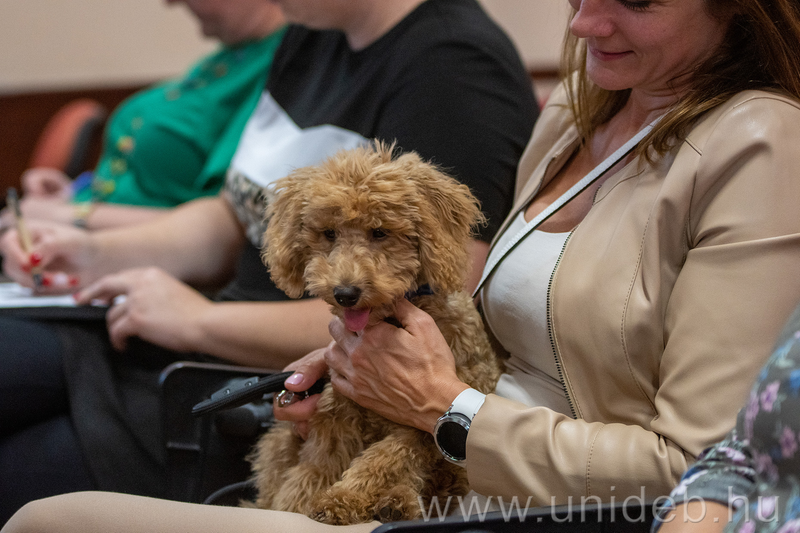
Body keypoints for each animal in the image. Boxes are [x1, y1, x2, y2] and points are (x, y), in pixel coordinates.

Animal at [250, 142, 501, 525]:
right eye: (329, 233)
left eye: (380, 232)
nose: (345, 293)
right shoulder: (337, 411)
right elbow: (313, 471)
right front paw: (304, 503)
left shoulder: (422, 426)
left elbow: (385, 458)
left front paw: (342, 499)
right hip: (281, 442)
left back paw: (397, 503)